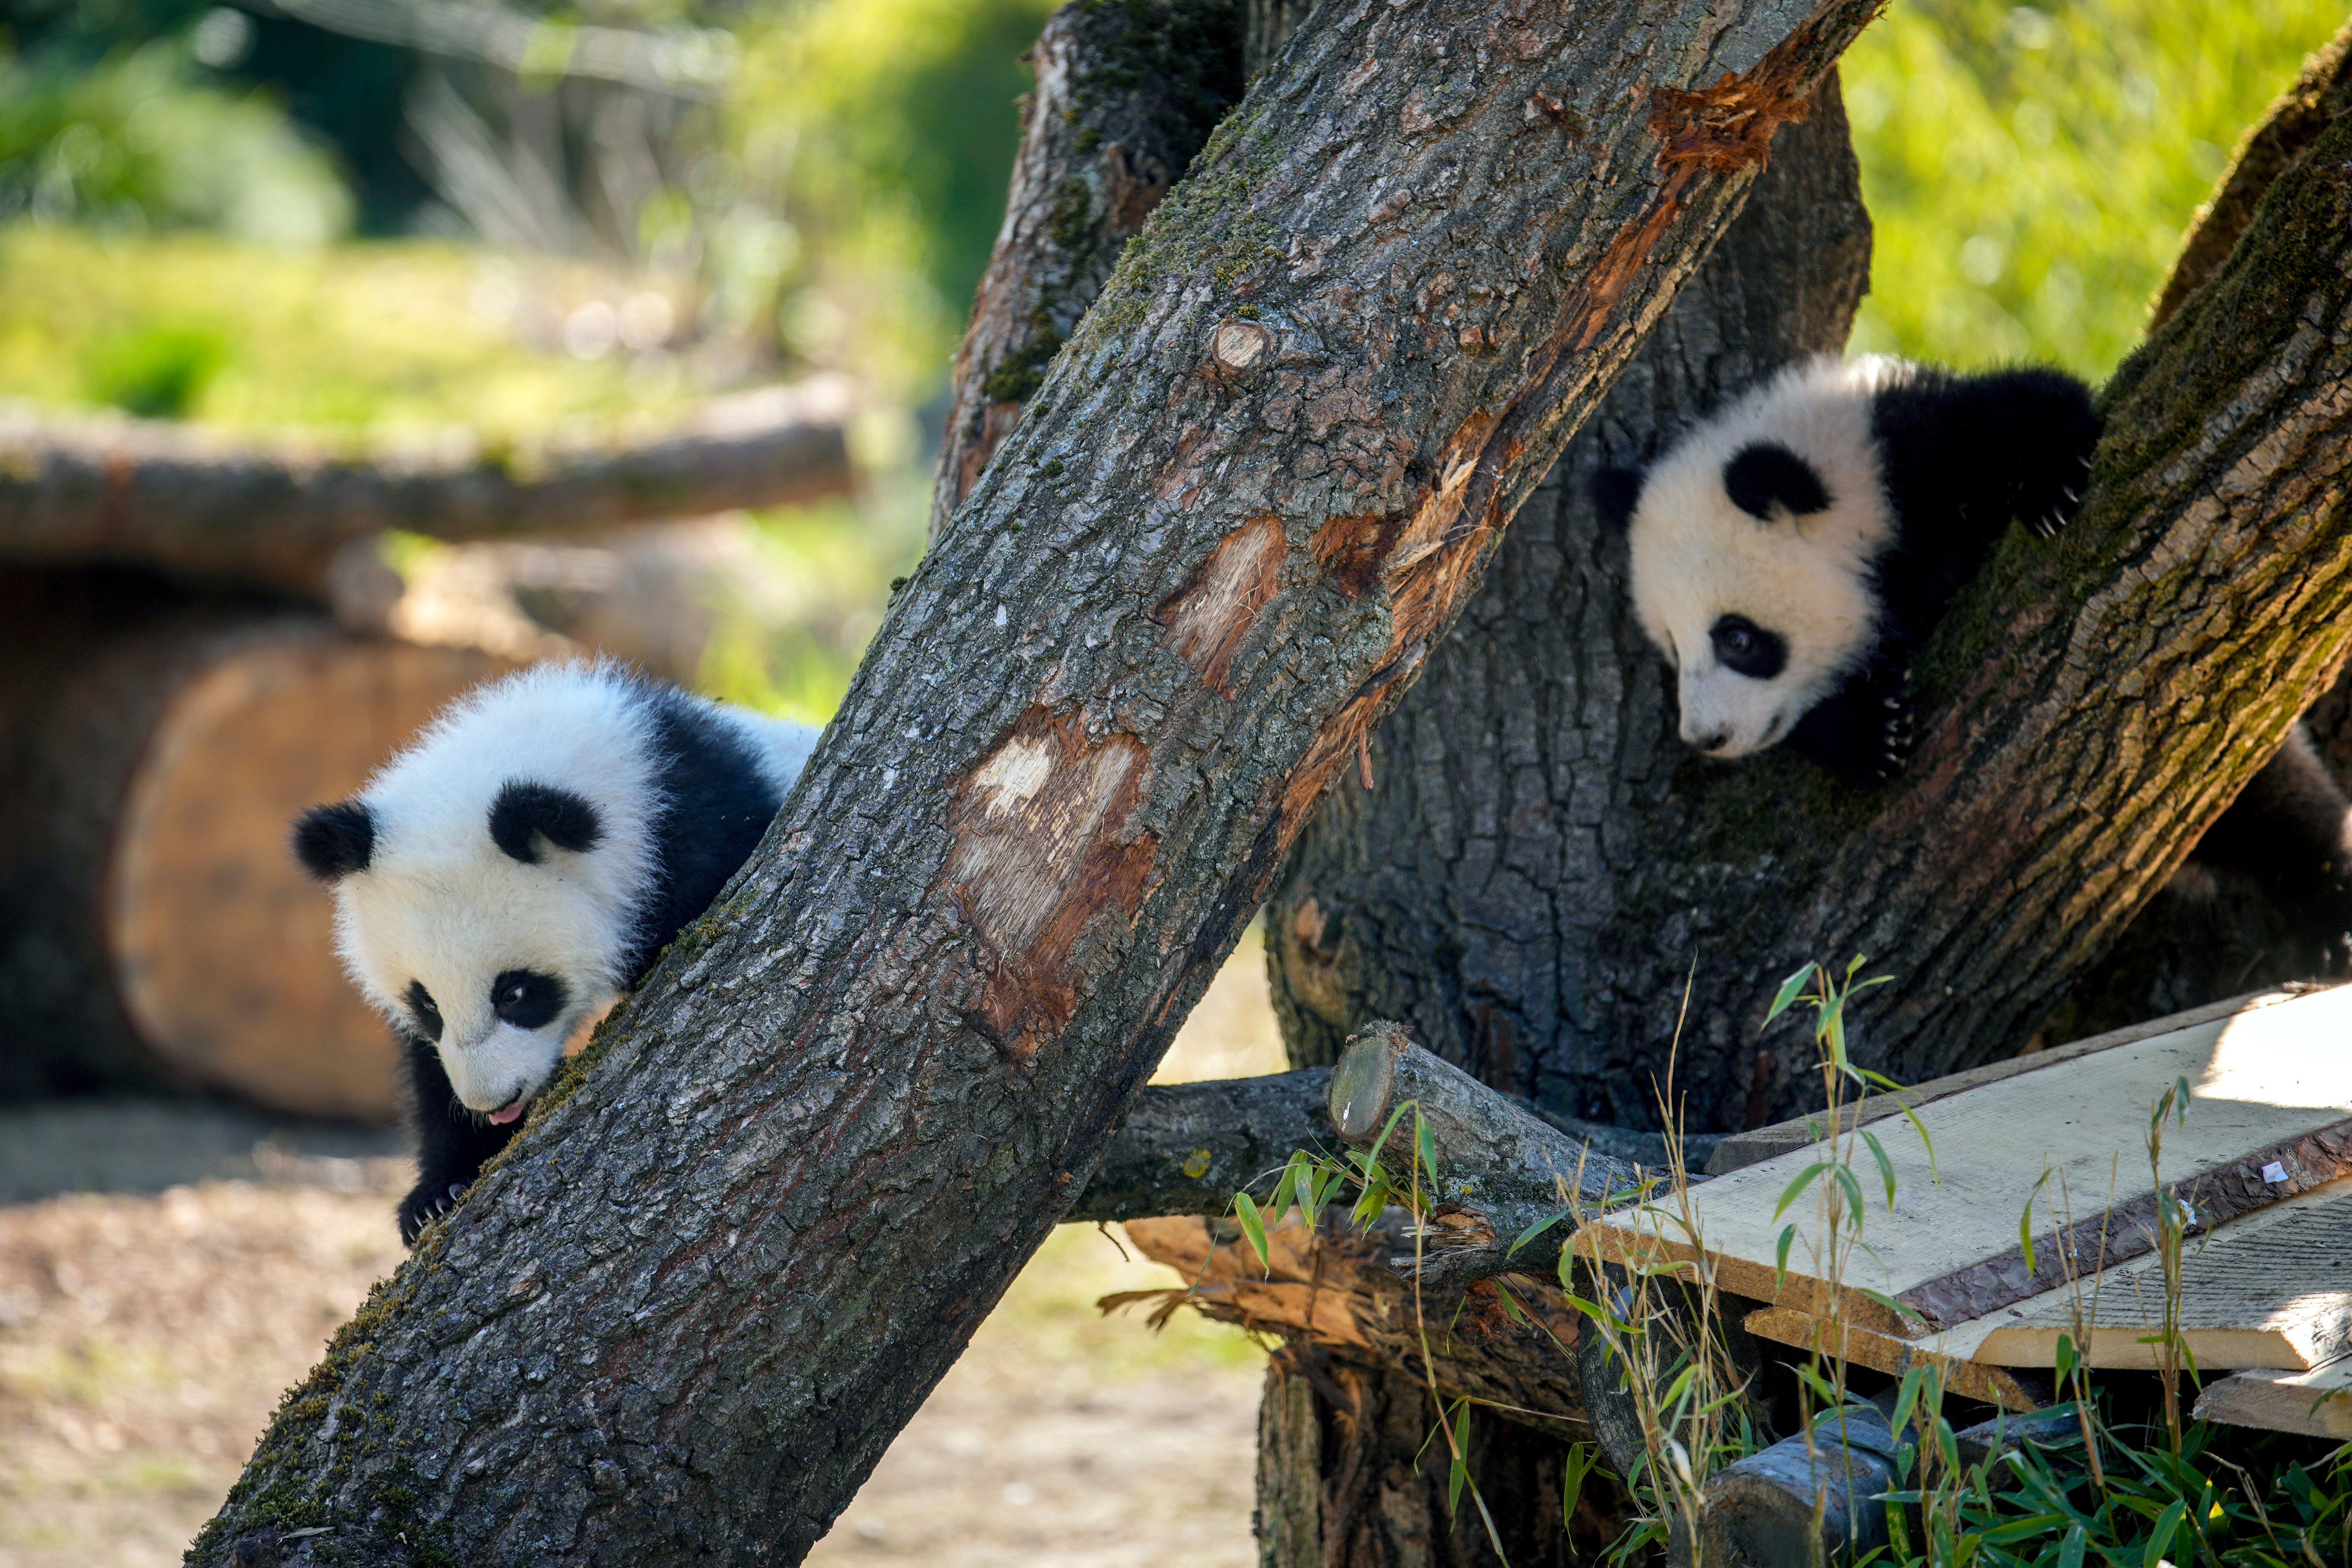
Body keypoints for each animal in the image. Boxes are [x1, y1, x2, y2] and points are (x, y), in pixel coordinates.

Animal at [291, 663, 817, 1244]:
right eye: (426, 1002)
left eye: (516, 993)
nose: (494, 1103)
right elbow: (428, 1068)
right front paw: (437, 1193)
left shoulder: (703, 838)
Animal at [1592, 351, 2352, 959]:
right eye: (1672, 650)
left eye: (1738, 639)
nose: (1707, 737)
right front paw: (1871, 730)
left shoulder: (1912, 453)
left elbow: (2034, 408)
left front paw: (2049, 487)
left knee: (2268, 792)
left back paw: (2330, 911)